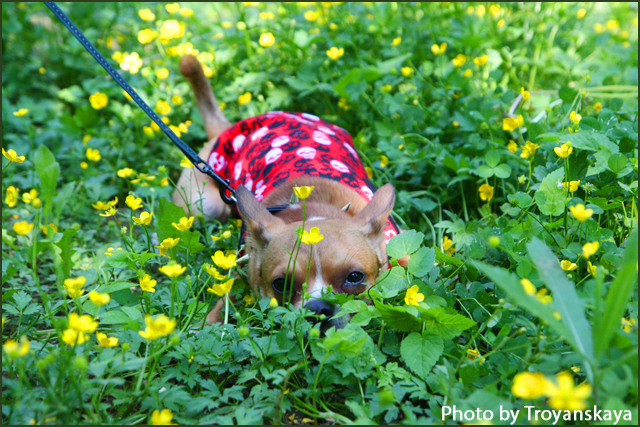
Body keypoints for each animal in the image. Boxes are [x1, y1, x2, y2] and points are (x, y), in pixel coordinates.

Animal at [173, 55, 403, 328]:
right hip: (203, 207)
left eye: (355, 277)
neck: (312, 206)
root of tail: (229, 127)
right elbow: (225, 299)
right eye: (281, 284)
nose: (318, 308)